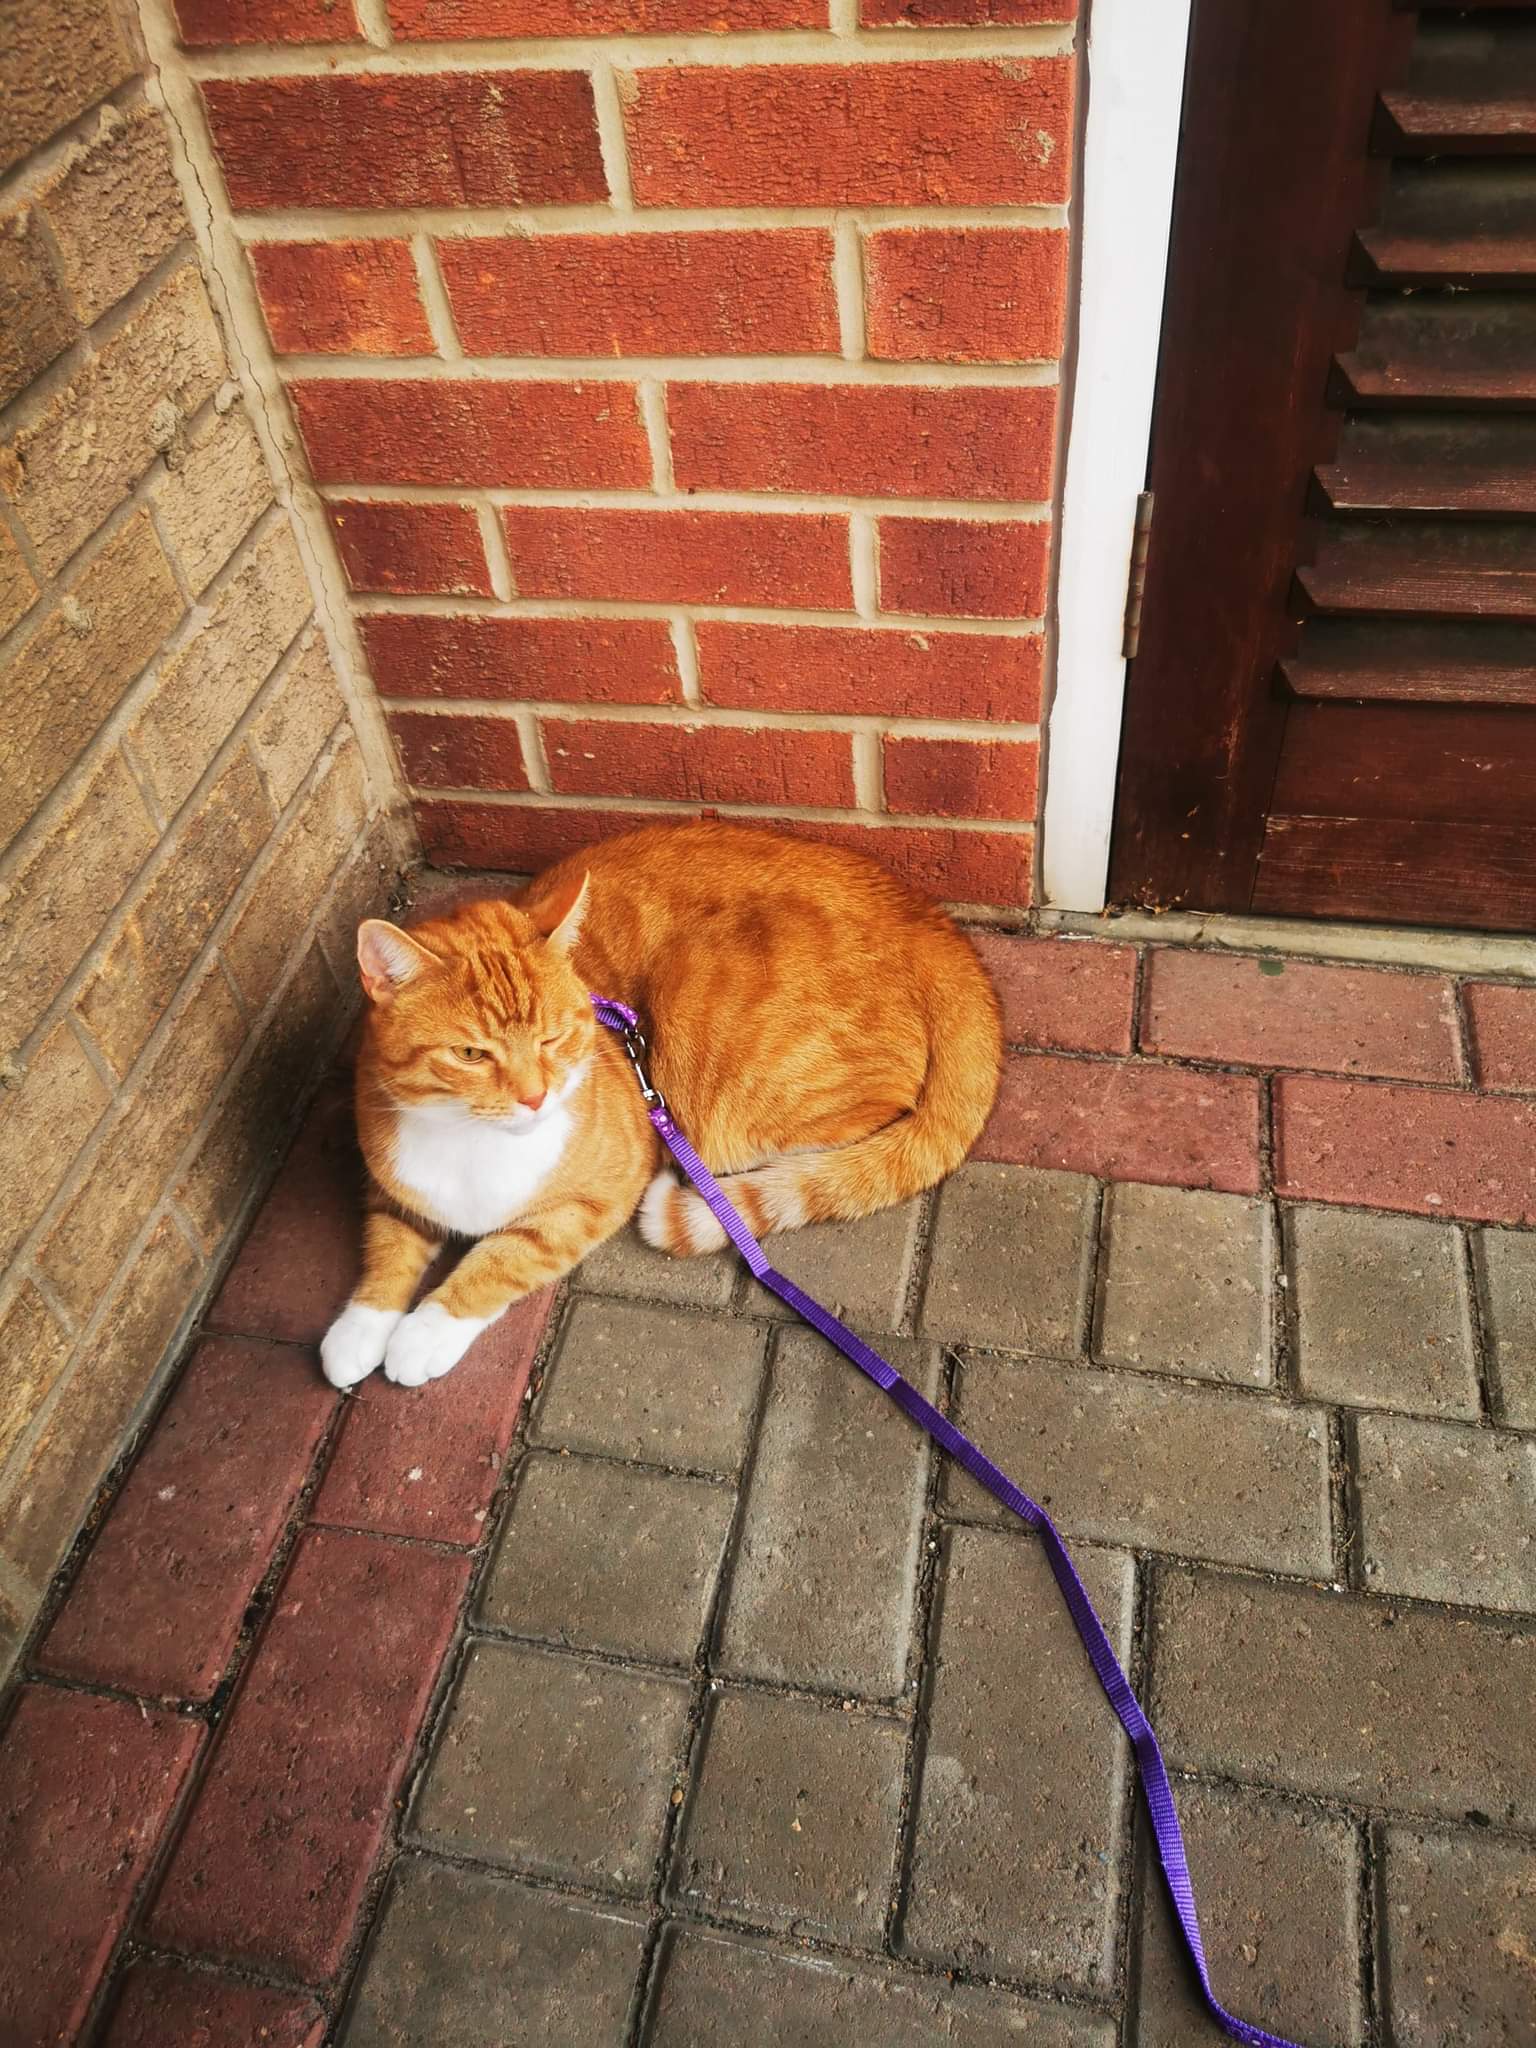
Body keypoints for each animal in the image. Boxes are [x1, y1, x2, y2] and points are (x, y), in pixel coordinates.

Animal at [319, 819, 1003, 1392]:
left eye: (553, 1038)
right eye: (469, 1054)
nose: (535, 1097)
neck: (474, 1146)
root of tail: (928, 919)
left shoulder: (594, 1199)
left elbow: (505, 1257)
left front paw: (425, 1332)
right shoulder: (392, 1185)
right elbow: (387, 1248)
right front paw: (358, 1332)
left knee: (879, 1110)